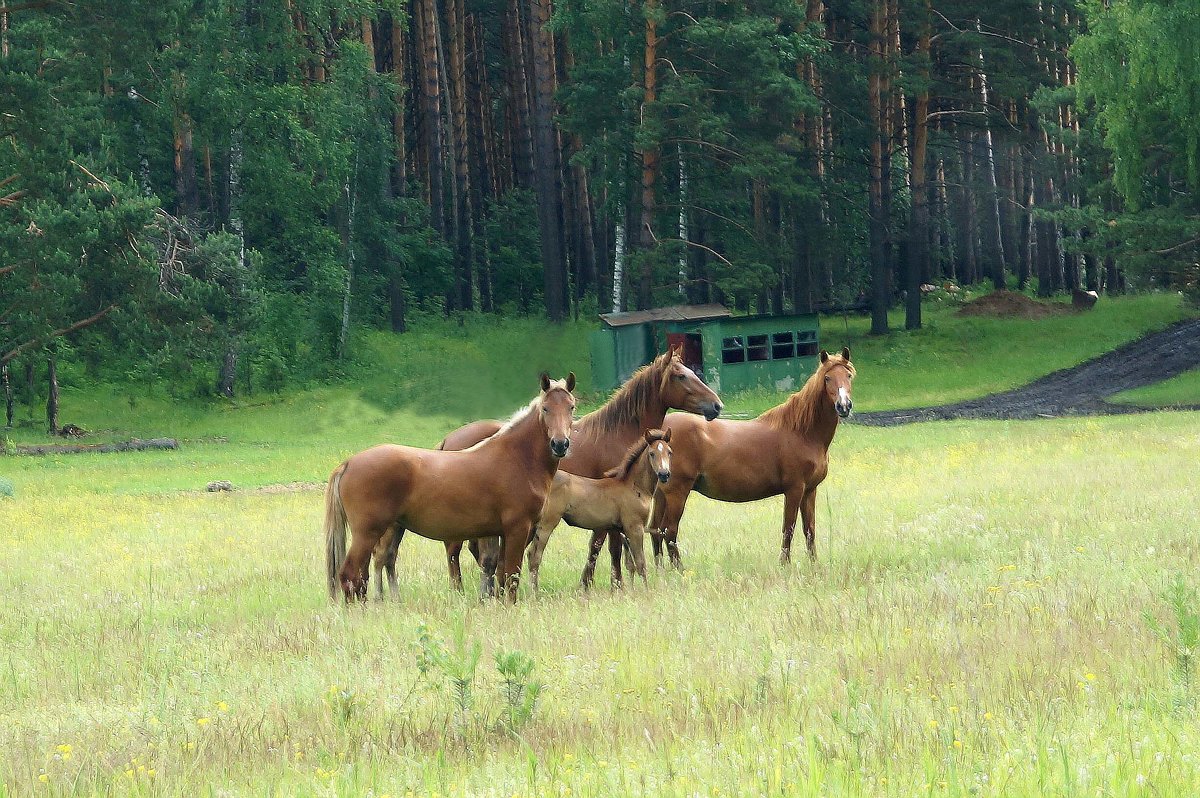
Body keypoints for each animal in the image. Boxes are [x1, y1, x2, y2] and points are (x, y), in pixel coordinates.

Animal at [324, 376, 576, 600]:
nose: (560, 444)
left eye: (571, 407)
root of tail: (348, 463)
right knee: (350, 575)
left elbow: (500, 575)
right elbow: (510, 576)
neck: (517, 458)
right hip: (368, 533)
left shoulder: (502, 533)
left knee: (363, 577)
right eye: (545, 408)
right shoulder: (518, 529)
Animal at [528, 429, 676, 590]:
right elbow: (641, 564)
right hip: (547, 524)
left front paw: (630, 590)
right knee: (534, 556)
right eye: (652, 453)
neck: (634, 486)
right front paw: (646, 591)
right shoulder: (635, 528)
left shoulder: (624, 531)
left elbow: (630, 565)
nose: (664, 474)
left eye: (669, 452)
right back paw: (534, 592)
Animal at [652, 348, 859, 566]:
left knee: (656, 531)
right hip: (677, 493)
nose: (844, 406)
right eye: (827, 378)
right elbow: (789, 529)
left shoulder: (810, 490)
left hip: (661, 495)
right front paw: (784, 565)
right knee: (669, 531)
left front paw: (814, 565)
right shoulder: (794, 489)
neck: (802, 432)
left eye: (848, 376)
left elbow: (809, 530)